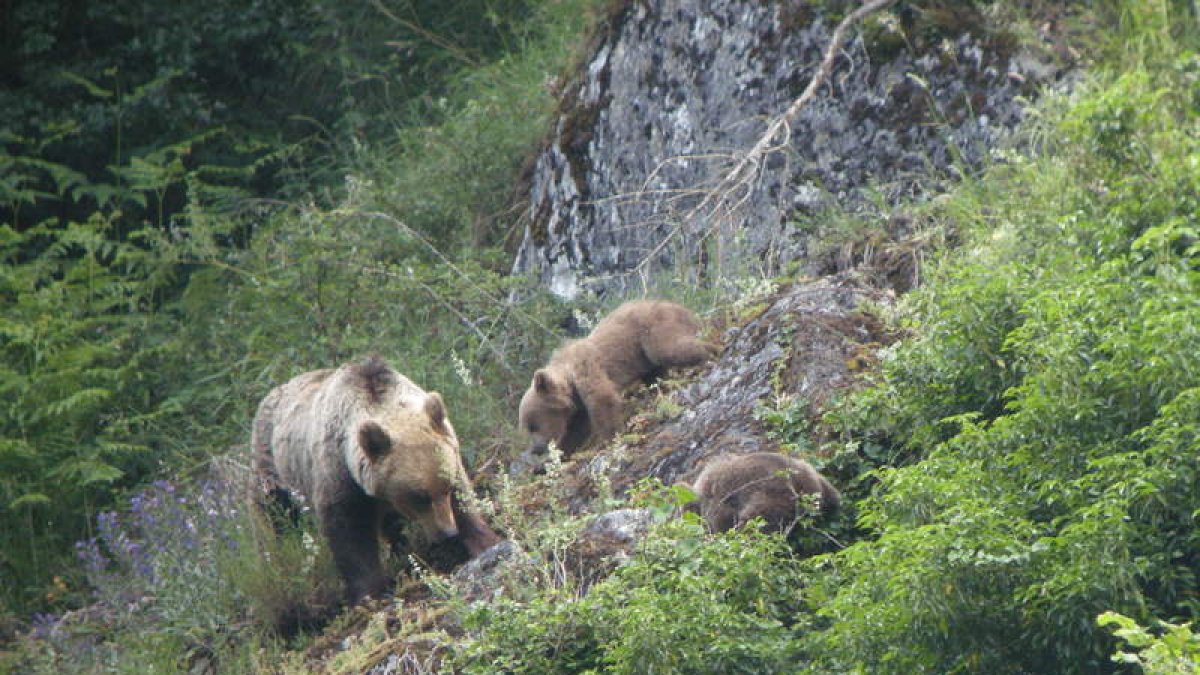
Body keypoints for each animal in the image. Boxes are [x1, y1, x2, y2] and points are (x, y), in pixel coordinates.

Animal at [250, 357, 501, 603]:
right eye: (419, 497)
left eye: (446, 488)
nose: (448, 533)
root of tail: (271, 393)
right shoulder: (339, 475)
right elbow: (349, 532)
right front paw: (368, 592)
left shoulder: (448, 454)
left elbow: (464, 502)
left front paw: (484, 541)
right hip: (271, 466)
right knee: (272, 514)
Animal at [517, 300, 716, 458]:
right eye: (528, 427)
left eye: (533, 425)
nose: (536, 449)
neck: (568, 378)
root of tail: (681, 308)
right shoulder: (577, 405)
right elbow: (577, 429)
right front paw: (556, 456)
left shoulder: (587, 369)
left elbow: (603, 400)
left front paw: (609, 438)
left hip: (652, 329)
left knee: (670, 348)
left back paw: (712, 351)